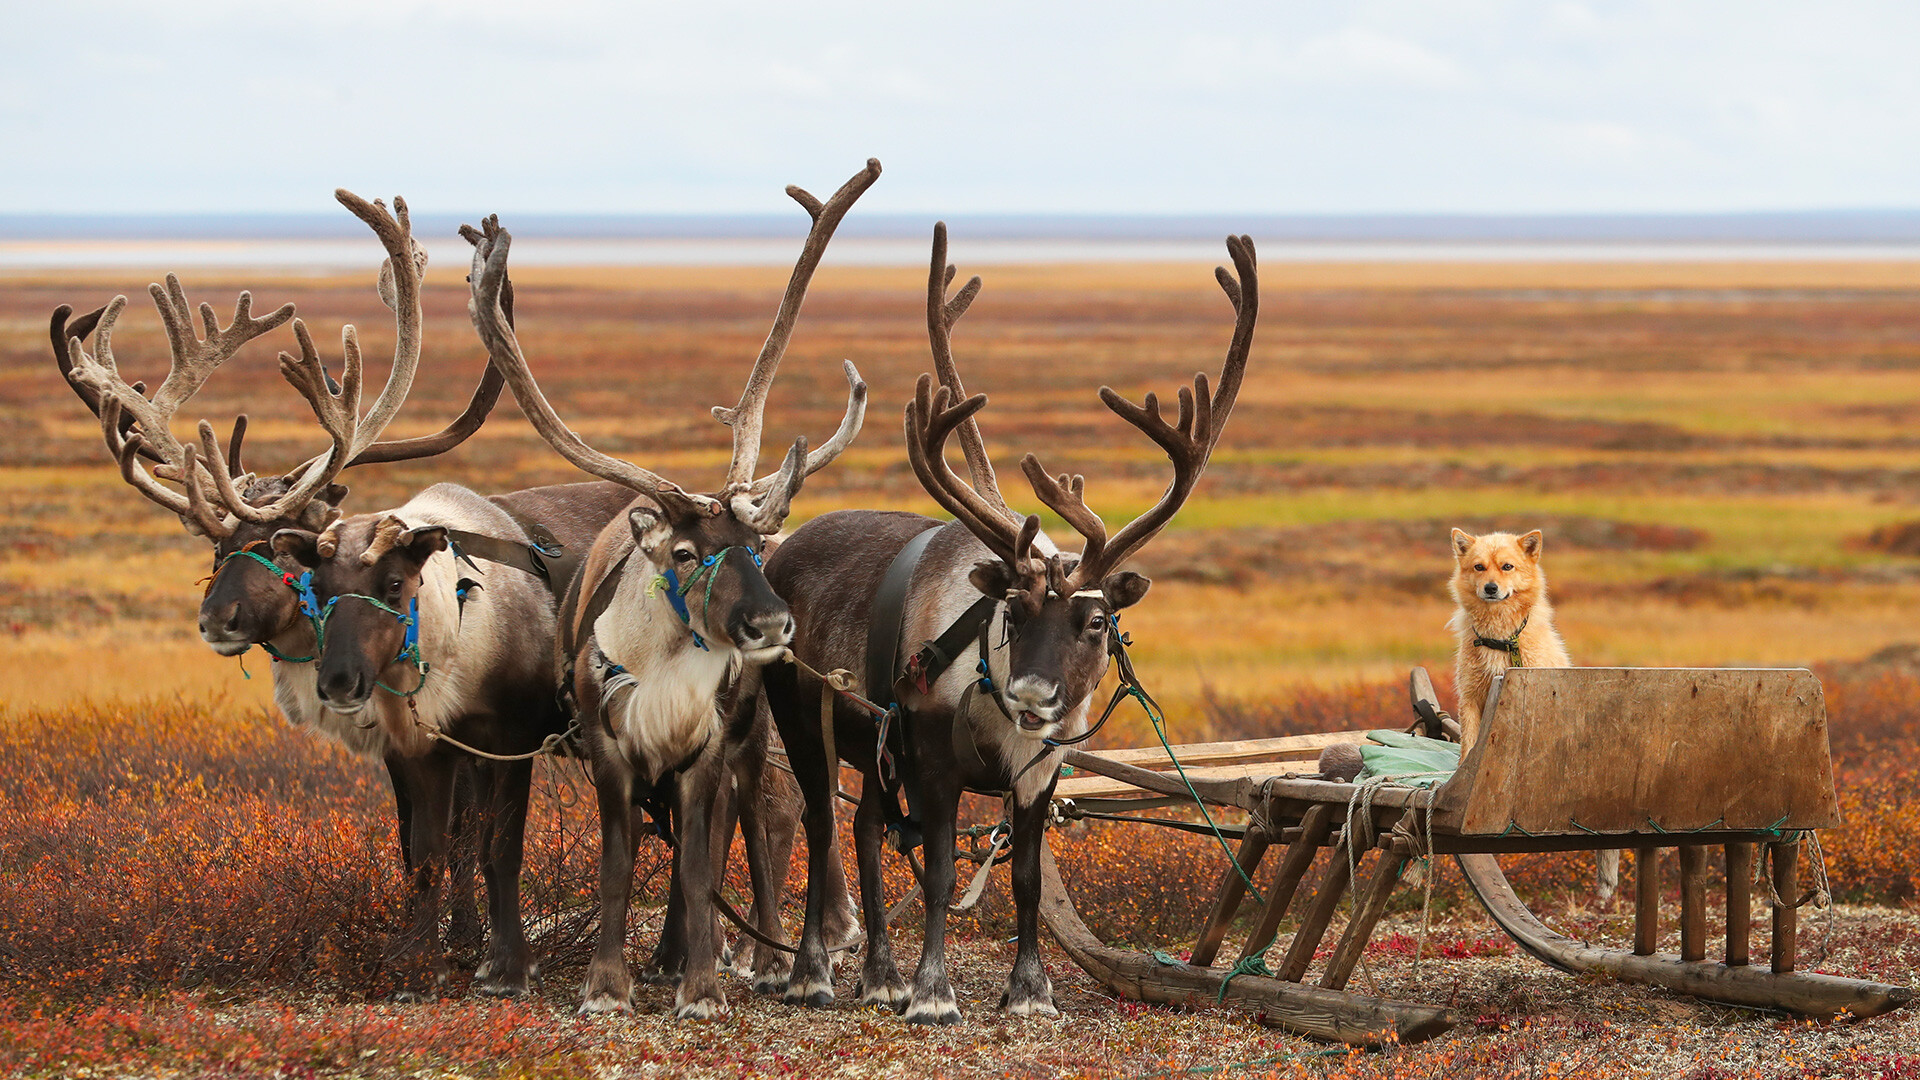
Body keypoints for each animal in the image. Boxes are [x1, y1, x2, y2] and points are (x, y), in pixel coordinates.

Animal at [1443, 526, 1612, 903]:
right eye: (1479, 567)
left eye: (1507, 567)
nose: (1491, 588)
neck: (1501, 640)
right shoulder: (1471, 700)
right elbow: (1469, 751)